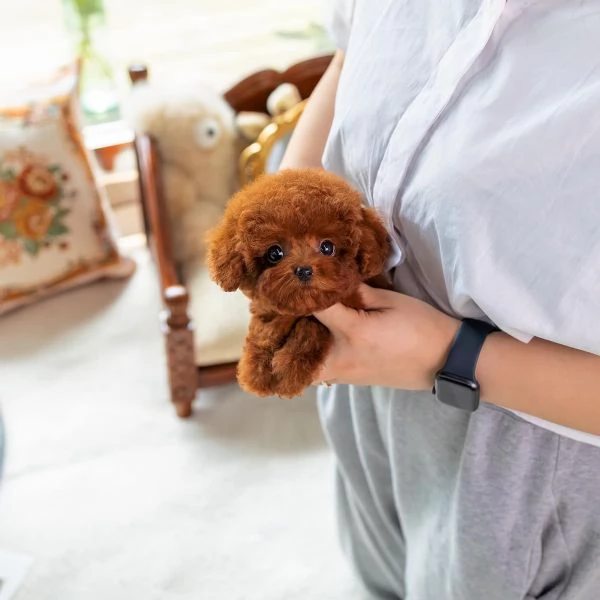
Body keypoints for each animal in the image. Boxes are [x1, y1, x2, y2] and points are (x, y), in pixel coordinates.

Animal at [209, 168, 392, 398]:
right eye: (274, 253)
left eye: (327, 247)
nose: (304, 269)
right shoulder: (266, 310)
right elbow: (262, 330)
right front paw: (254, 367)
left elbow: (310, 325)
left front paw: (290, 369)